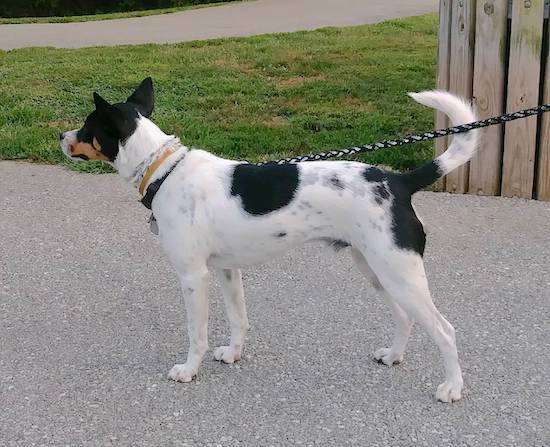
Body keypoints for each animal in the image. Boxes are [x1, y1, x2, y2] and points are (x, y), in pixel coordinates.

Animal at [60, 79, 478, 404]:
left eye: (86, 126)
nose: (60, 136)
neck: (165, 171)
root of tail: (400, 181)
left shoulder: (193, 277)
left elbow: (196, 333)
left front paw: (189, 370)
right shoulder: (227, 270)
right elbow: (238, 319)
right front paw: (233, 354)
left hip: (400, 274)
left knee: (445, 330)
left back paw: (452, 388)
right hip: (378, 270)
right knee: (405, 316)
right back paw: (393, 356)